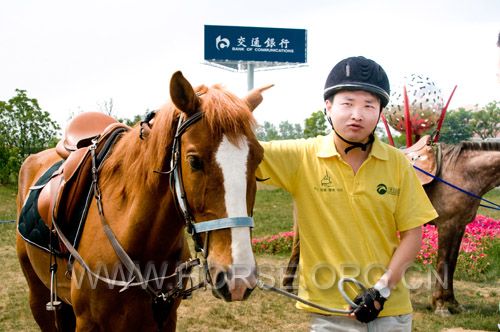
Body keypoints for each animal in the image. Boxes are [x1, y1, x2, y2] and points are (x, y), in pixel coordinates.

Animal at [15, 71, 268, 330]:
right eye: (194, 161)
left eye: (258, 159)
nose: (238, 278)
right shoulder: (88, 322)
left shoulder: (165, 318)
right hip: (39, 296)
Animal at [284, 140, 498, 316]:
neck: (462, 173)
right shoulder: (447, 225)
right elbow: (443, 264)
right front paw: (440, 305)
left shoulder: (459, 226)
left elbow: (451, 264)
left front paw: (453, 304)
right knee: (298, 247)